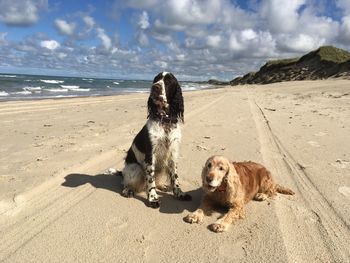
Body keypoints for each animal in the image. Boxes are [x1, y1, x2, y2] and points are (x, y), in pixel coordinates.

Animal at [121, 71, 191, 208]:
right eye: (156, 79)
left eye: (168, 81)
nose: (155, 87)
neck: (165, 121)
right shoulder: (150, 155)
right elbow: (150, 179)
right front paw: (153, 198)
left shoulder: (173, 153)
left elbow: (175, 177)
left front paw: (179, 193)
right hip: (135, 169)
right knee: (126, 183)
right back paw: (128, 190)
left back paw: (162, 186)